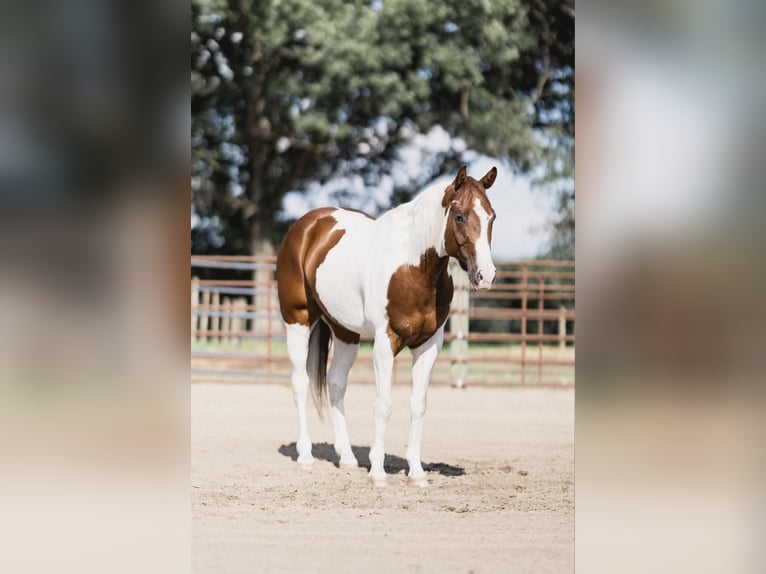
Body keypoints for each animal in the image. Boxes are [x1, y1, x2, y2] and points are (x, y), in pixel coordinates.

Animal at [276, 165, 498, 486]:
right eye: (459, 216)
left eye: (492, 216)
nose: (486, 276)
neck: (413, 267)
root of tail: (307, 226)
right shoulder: (385, 343)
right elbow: (383, 404)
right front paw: (378, 472)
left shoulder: (429, 346)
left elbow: (418, 405)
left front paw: (416, 472)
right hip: (298, 321)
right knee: (300, 383)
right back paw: (305, 455)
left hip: (345, 332)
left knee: (336, 383)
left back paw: (347, 458)